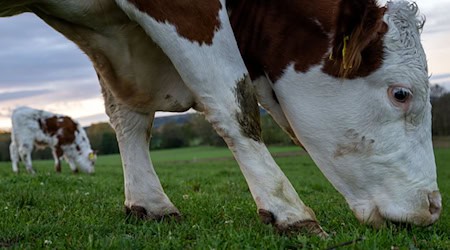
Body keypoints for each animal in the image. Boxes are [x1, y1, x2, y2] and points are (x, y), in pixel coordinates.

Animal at [0, 0, 442, 234]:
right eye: (401, 94)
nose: (434, 206)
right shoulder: (184, 11)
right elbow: (234, 102)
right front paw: (290, 213)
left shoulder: (116, 41)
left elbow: (127, 117)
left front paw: (150, 203)